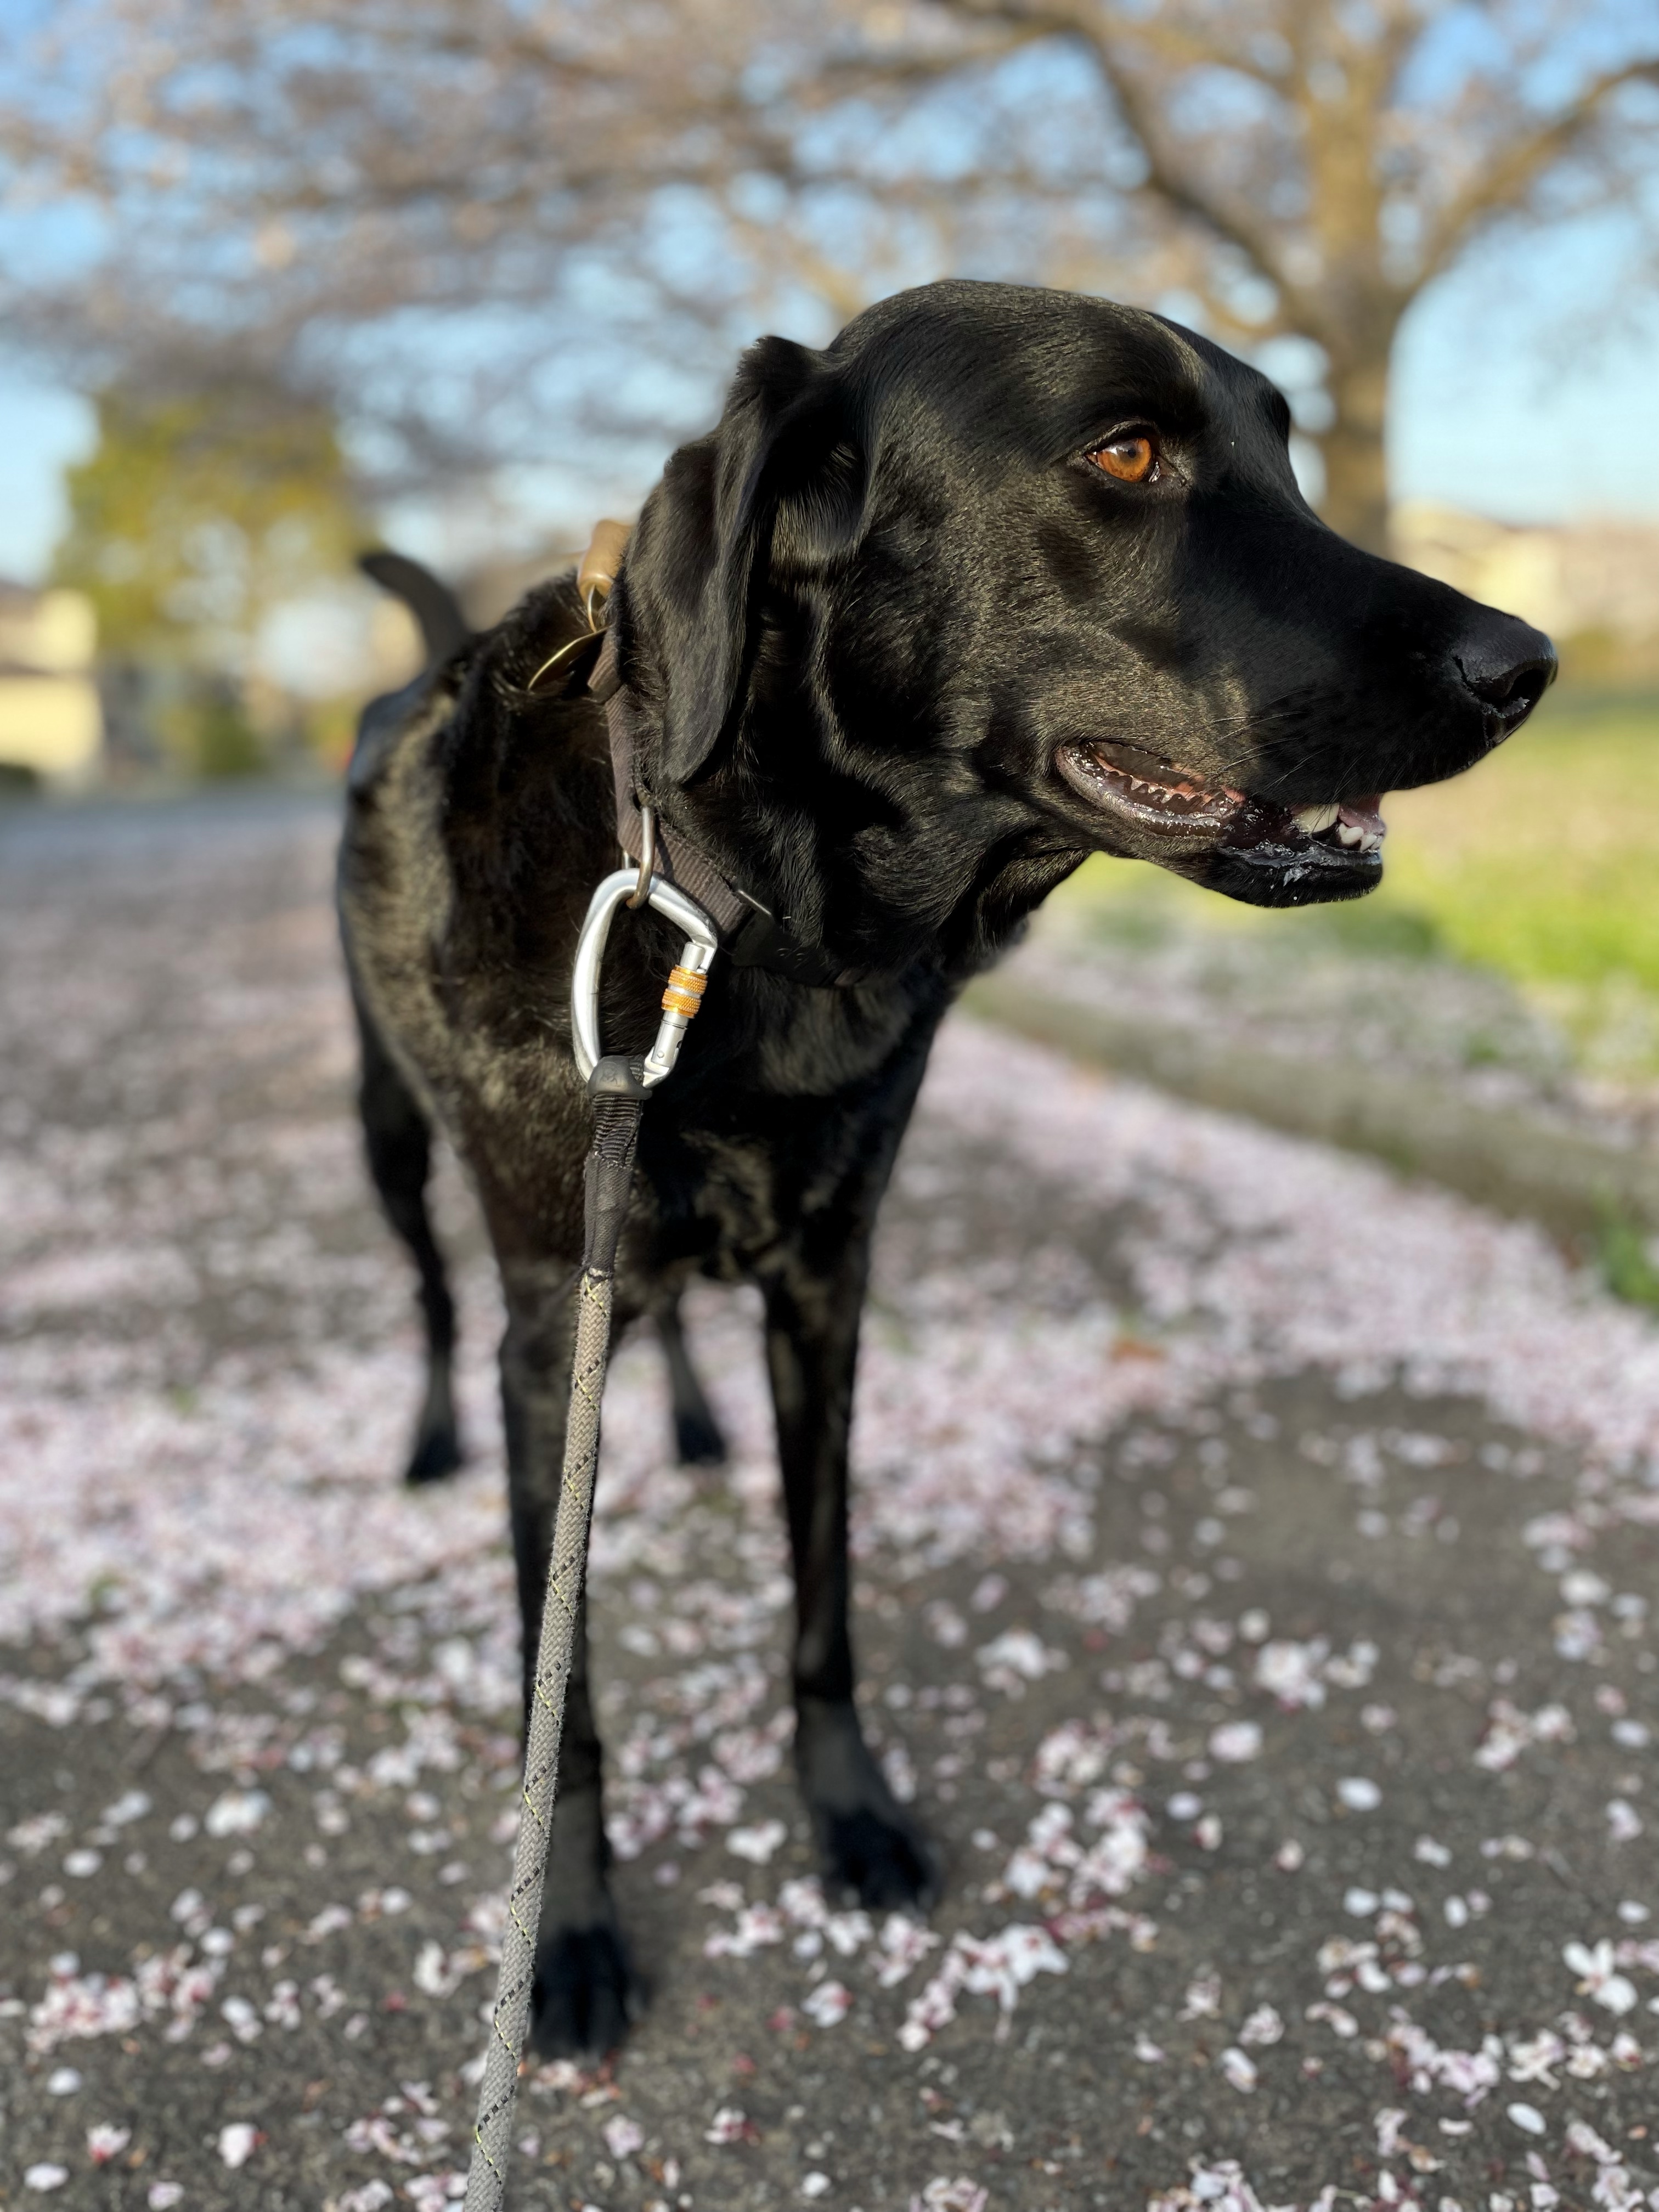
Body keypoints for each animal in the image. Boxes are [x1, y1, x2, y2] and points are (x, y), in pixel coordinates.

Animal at [338, 278, 1553, 2057]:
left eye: (1284, 448)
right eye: (1126, 453)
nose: (1528, 664)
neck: (737, 904)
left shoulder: (831, 1283)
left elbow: (824, 1604)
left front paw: (852, 1816)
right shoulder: (551, 1326)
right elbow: (568, 1699)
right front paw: (564, 1933)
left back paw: (689, 1421)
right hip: (390, 1140)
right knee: (429, 1302)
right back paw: (424, 1441)